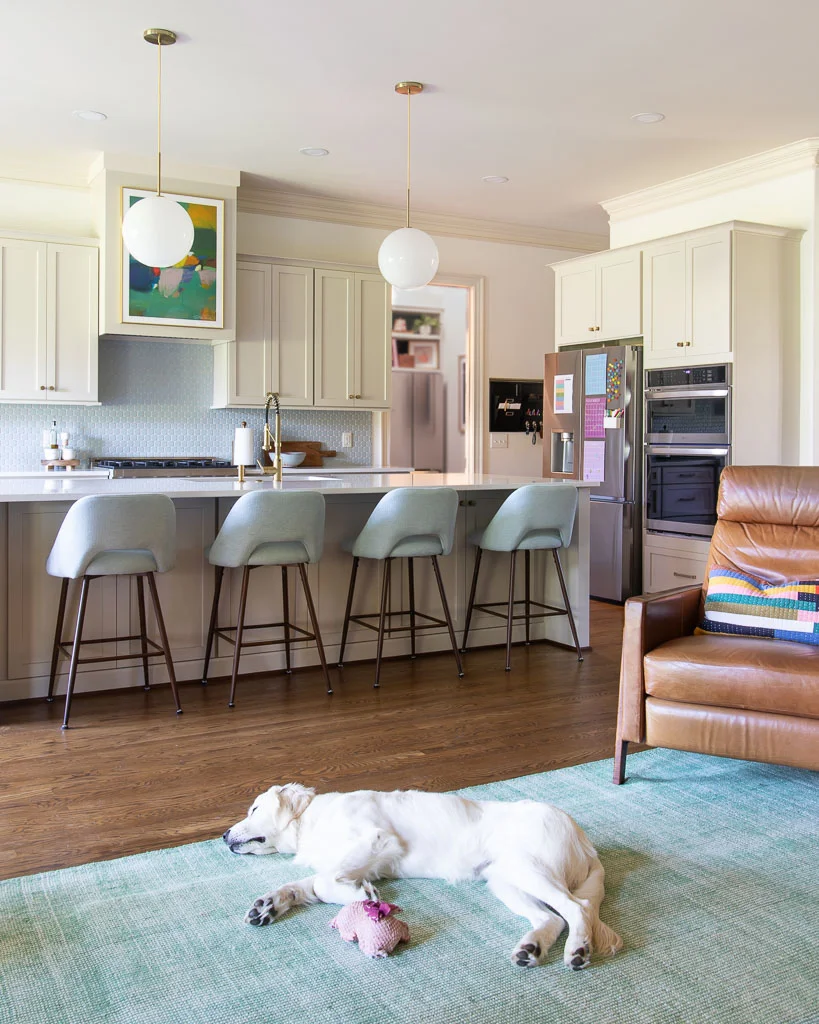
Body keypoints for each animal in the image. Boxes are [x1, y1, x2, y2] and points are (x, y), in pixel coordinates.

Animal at [224, 782, 622, 966]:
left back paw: (577, 950)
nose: (225, 836)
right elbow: (311, 884)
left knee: (579, 908)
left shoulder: (376, 838)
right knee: (552, 918)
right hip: (505, 880)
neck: (312, 821)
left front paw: (362, 898)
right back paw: (531, 948)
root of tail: (585, 841)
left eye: (254, 809)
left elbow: (324, 882)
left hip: (528, 867)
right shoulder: (364, 863)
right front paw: (268, 904)